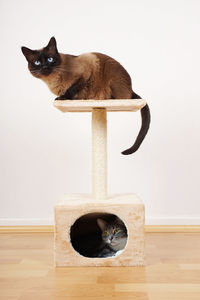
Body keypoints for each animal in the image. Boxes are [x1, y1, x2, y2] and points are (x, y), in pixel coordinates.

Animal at [21, 37, 150, 155]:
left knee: (122, 97)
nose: (45, 67)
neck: (52, 80)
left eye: (50, 59)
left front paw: (62, 98)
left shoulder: (85, 70)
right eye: (37, 62)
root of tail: (131, 88)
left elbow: (71, 89)